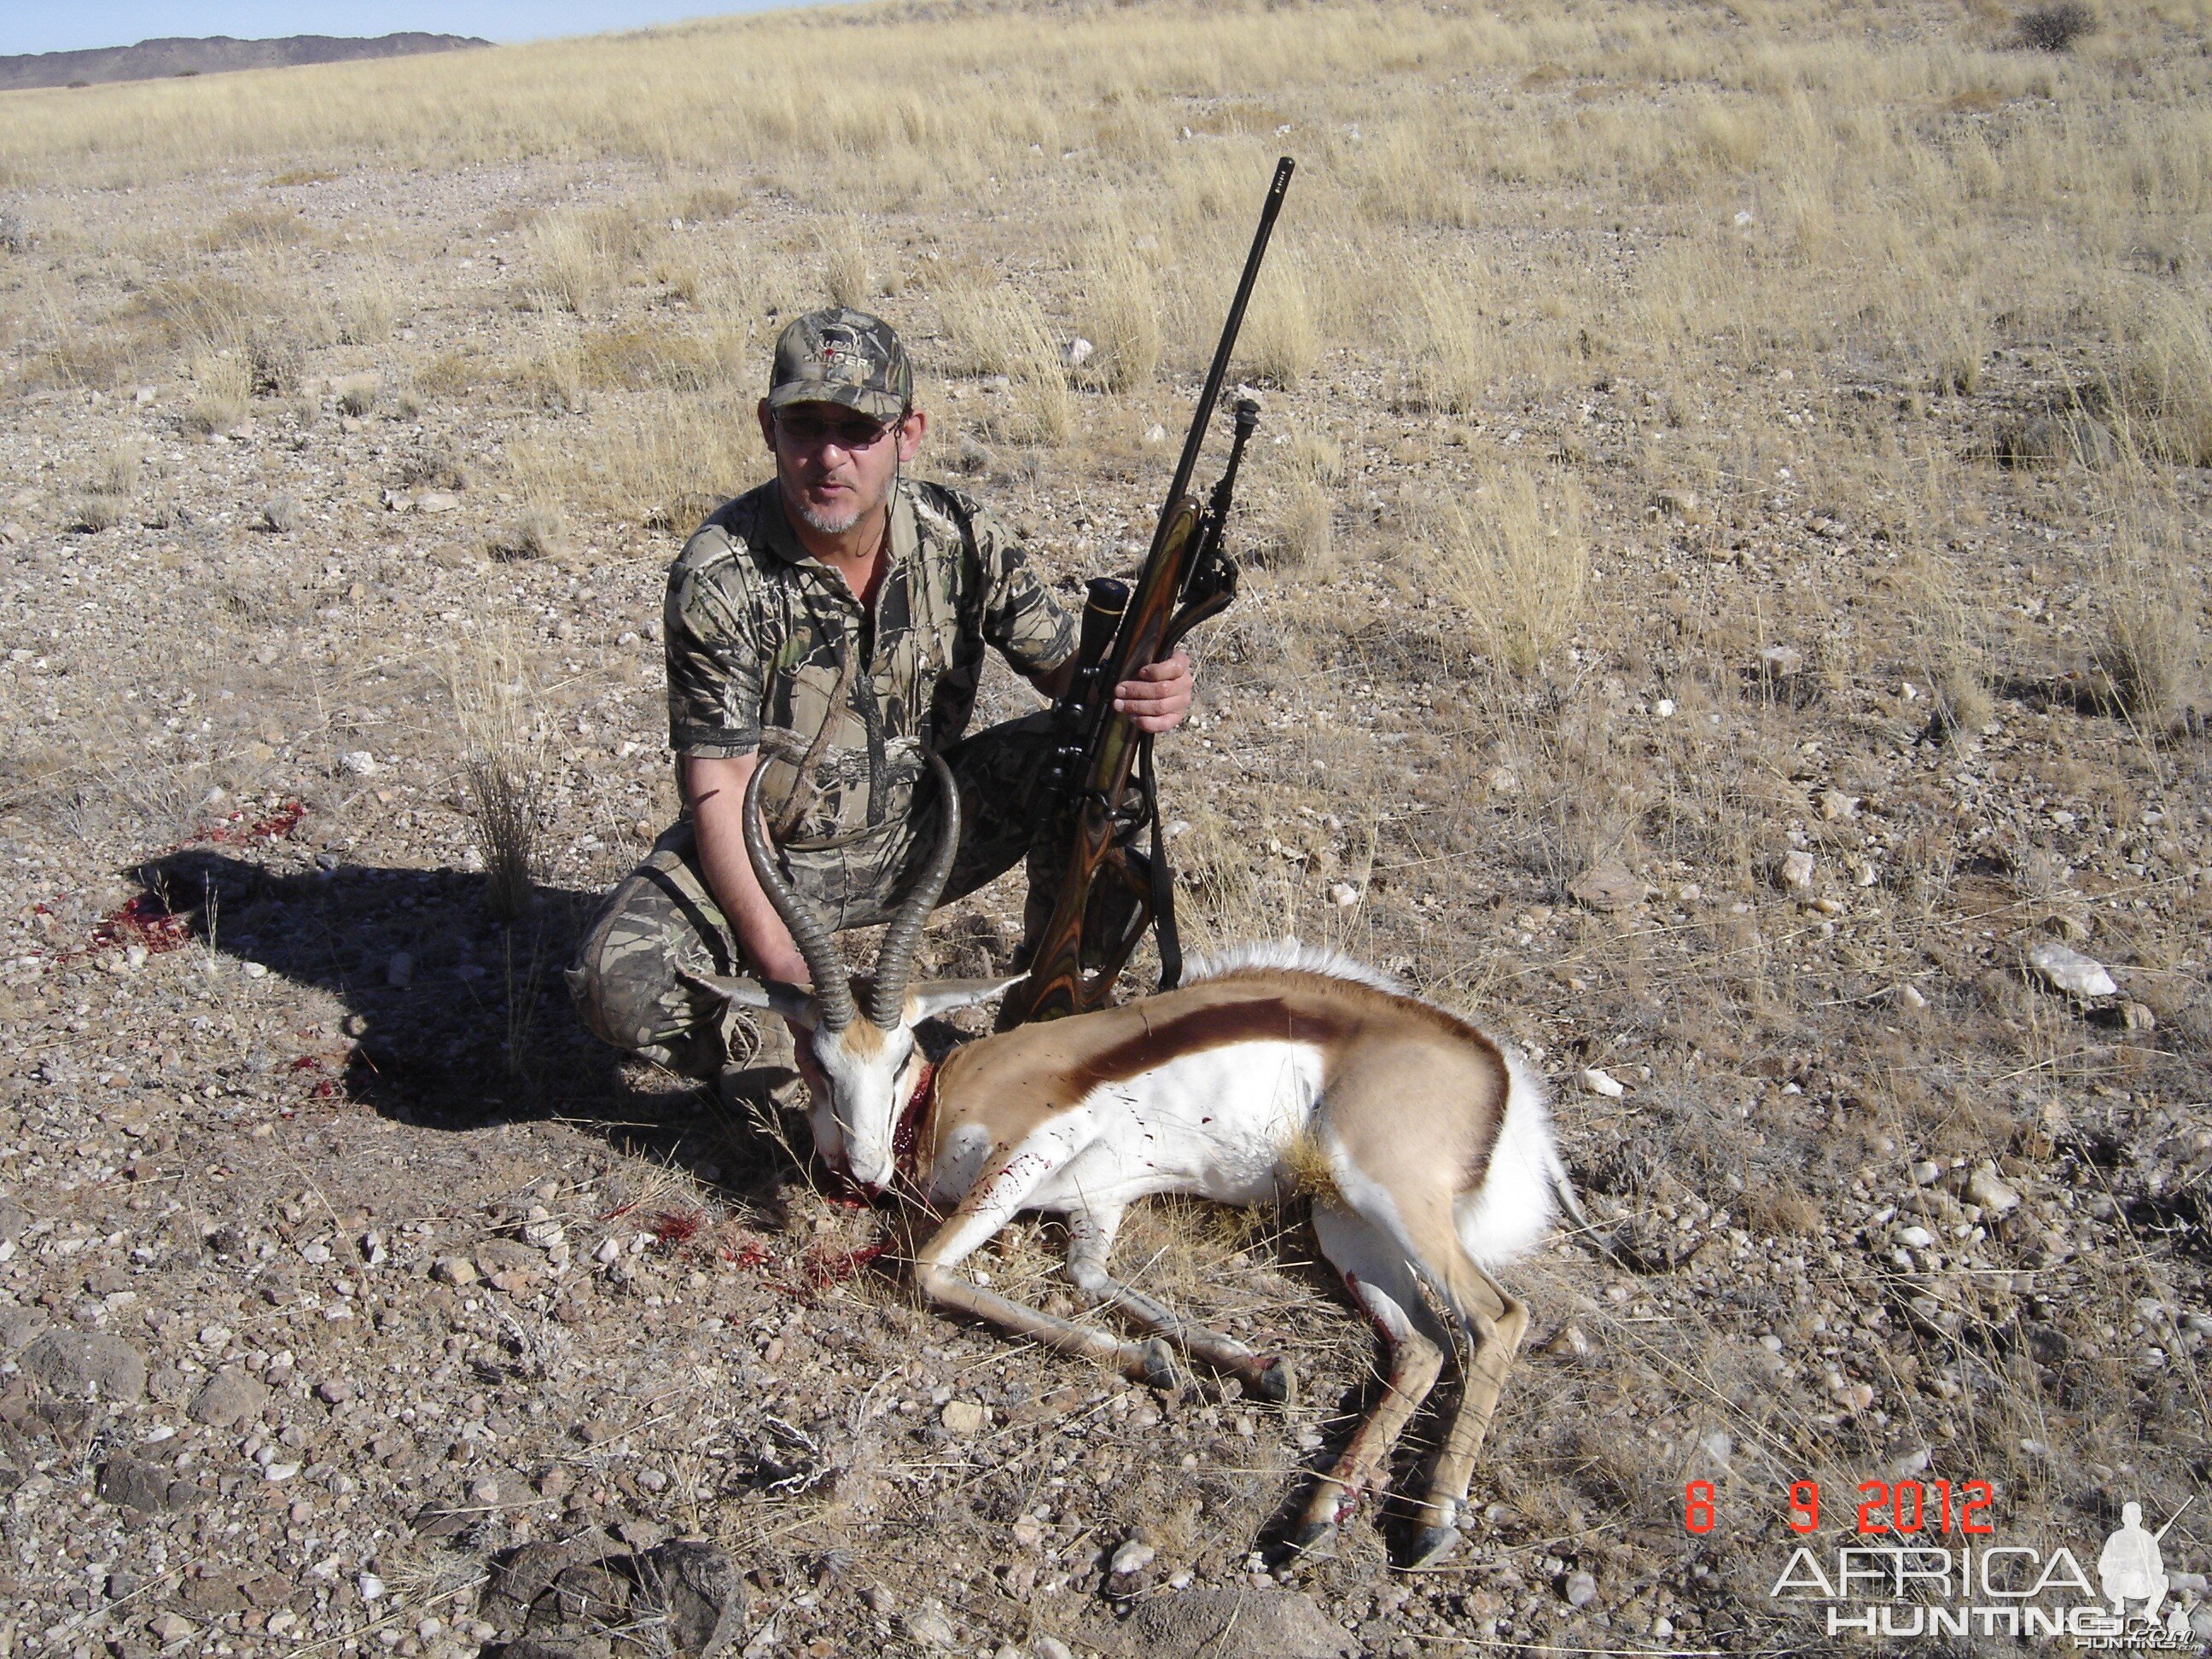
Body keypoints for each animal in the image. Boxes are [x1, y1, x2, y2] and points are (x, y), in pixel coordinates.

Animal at [699, 760, 1583, 1566]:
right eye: (816, 1062)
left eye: (900, 1055)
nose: (868, 1167)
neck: (939, 1102)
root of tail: (1496, 1070)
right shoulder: (1100, 1202)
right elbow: (1090, 1278)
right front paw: (1249, 1366)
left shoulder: (1029, 1153)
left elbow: (929, 1271)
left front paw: (1156, 1362)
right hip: (1345, 1225)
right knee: (1426, 1346)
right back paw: (1314, 1520)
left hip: (1385, 1193)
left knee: (1499, 1317)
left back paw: (1432, 1522)